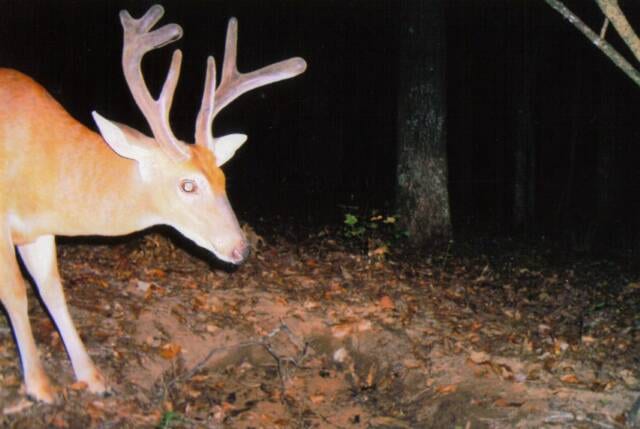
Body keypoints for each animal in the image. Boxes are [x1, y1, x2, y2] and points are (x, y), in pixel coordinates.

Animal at [0, 5, 306, 403]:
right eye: (187, 185)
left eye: (223, 178)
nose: (241, 249)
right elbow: (16, 292)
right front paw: (39, 386)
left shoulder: (38, 230)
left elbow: (52, 291)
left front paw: (92, 377)